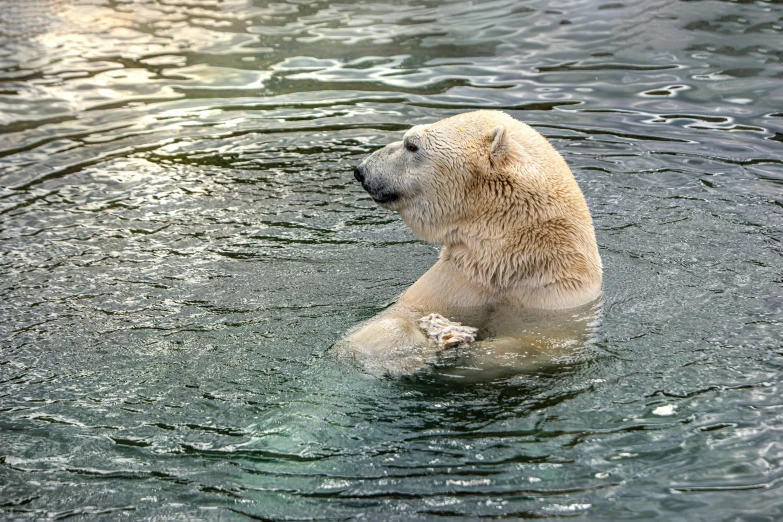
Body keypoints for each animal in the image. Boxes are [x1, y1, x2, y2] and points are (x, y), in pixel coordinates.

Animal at [334, 110, 604, 374]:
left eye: (411, 145)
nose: (361, 171)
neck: (504, 262)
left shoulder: (555, 300)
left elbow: (537, 346)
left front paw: (452, 343)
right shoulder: (461, 276)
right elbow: (392, 318)